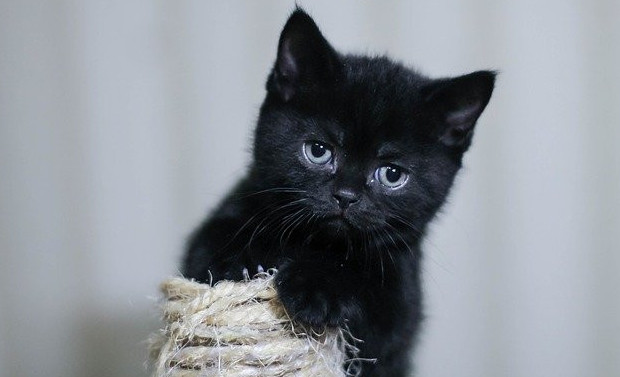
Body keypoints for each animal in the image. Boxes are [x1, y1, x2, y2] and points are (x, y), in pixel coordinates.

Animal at [183, 8, 494, 376]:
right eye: (318, 151)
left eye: (392, 174)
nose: (346, 196)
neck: (316, 243)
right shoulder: (224, 217)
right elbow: (209, 246)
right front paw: (240, 257)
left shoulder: (400, 303)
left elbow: (370, 296)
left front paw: (317, 288)